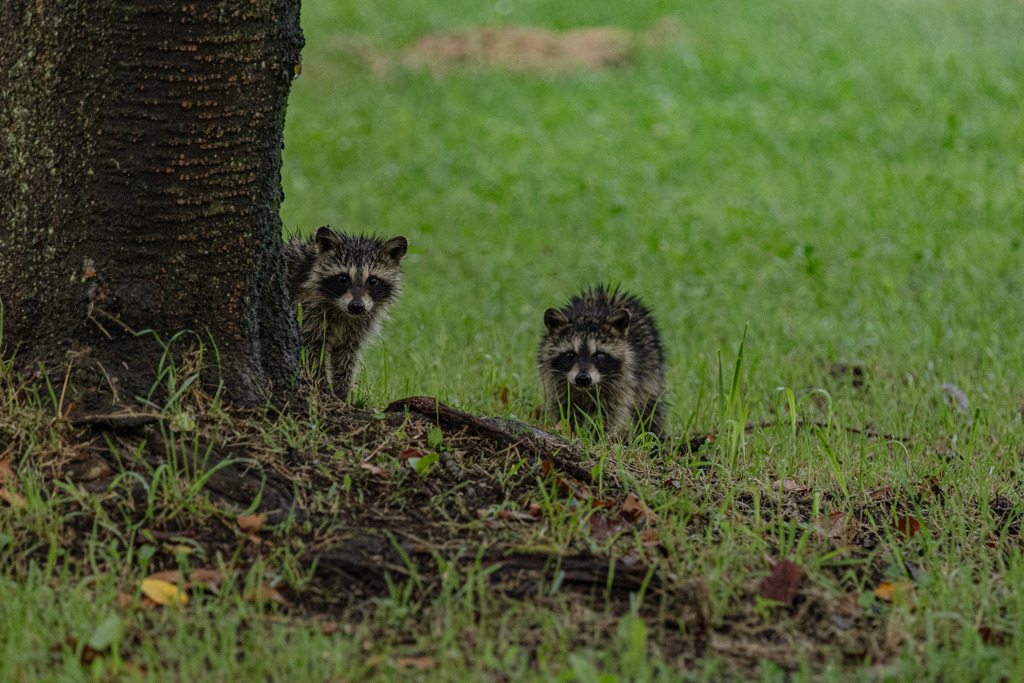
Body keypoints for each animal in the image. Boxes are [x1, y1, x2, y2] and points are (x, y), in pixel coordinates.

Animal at [286, 227, 409, 397]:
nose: (356, 306)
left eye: (373, 281)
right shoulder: (307, 312)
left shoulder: (358, 325)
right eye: (343, 278)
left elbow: (346, 355)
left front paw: (342, 391)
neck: (343, 312)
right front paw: (322, 386)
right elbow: (312, 352)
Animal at [540, 286, 667, 438]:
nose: (583, 378)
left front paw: (598, 436)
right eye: (570, 354)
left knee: (650, 404)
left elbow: (610, 413)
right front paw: (570, 431)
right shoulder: (555, 382)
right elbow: (563, 406)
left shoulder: (623, 381)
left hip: (651, 367)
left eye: (600, 355)